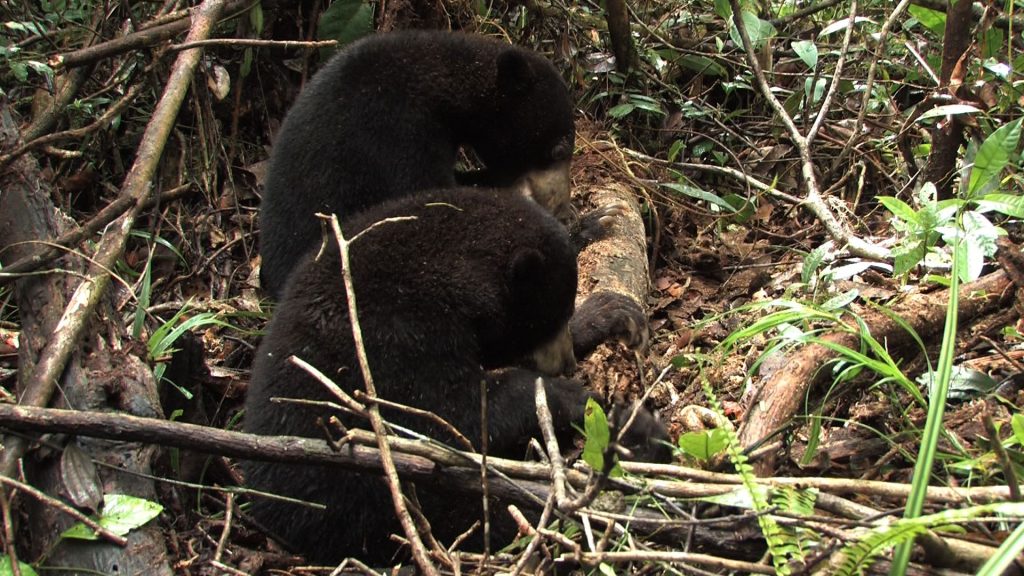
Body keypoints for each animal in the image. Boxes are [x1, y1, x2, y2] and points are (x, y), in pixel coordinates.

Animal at [243, 188, 668, 565]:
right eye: (545, 318)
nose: (562, 365)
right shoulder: (398, 339)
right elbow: (453, 419)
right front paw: (606, 410)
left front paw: (610, 310)